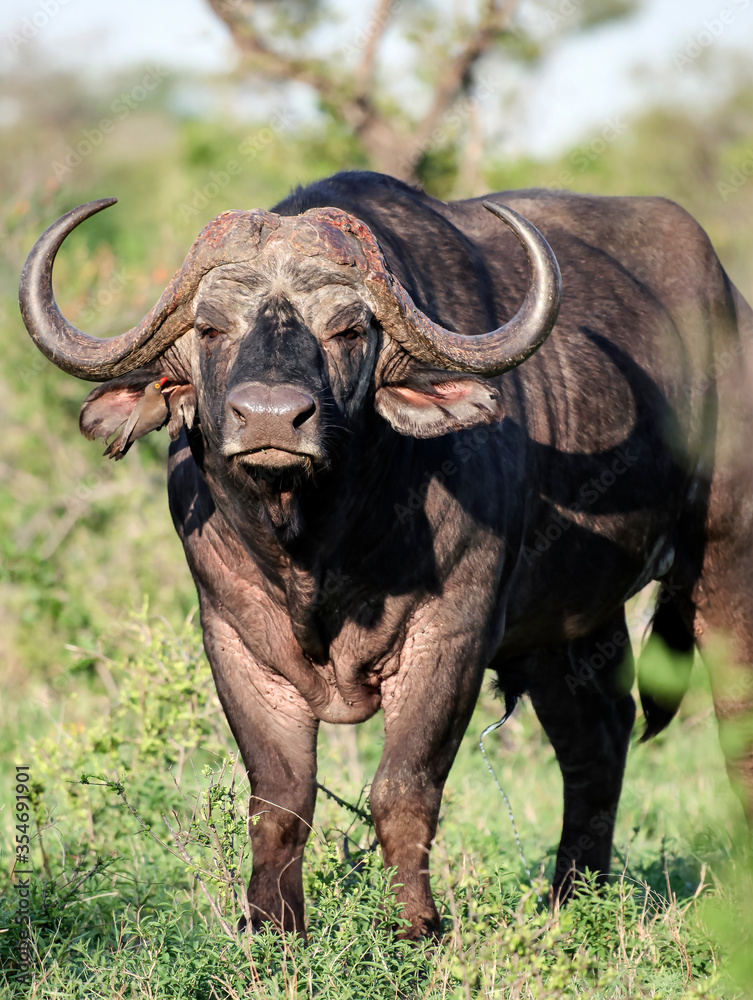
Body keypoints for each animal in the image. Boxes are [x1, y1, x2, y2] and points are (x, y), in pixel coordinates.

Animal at [17, 170, 752, 936]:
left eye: (346, 330)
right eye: (211, 327)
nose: (272, 418)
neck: (315, 544)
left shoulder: (450, 636)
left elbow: (402, 788)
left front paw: (415, 928)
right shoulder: (235, 641)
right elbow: (279, 797)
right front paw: (272, 929)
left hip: (725, 566)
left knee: (735, 729)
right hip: (568, 624)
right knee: (598, 737)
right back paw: (570, 904)